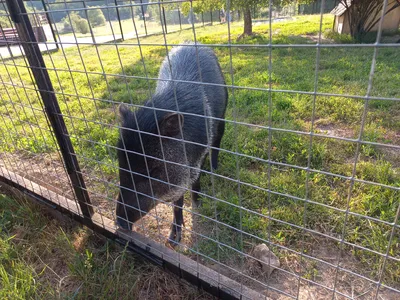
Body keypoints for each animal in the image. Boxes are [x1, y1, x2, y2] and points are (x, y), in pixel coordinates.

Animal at [115, 41, 228, 244]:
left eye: (153, 170)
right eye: (121, 165)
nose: (120, 222)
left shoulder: (195, 161)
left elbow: (193, 185)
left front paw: (197, 205)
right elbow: (177, 203)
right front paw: (173, 239)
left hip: (223, 116)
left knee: (217, 143)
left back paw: (214, 169)